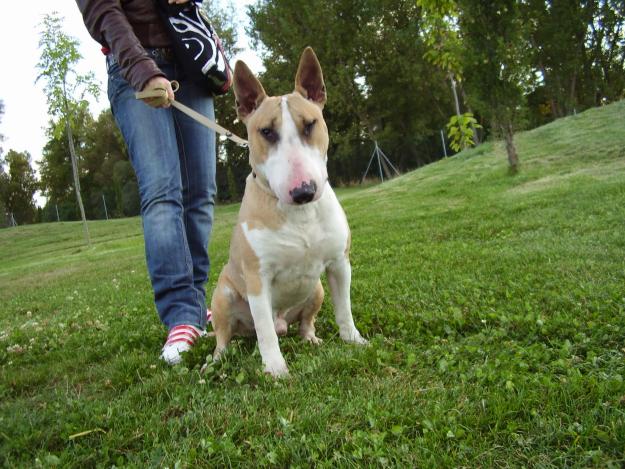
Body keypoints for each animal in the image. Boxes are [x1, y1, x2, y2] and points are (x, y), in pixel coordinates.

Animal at [211, 47, 366, 376]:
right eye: (266, 131)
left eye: (310, 124)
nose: (303, 191)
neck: (300, 216)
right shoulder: (258, 280)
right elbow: (265, 332)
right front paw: (275, 369)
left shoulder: (339, 263)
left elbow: (344, 308)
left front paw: (354, 340)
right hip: (223, 296)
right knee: (226, 335)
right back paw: (216, 361)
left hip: (317, 289)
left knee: (305, 323)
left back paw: (311, 339)